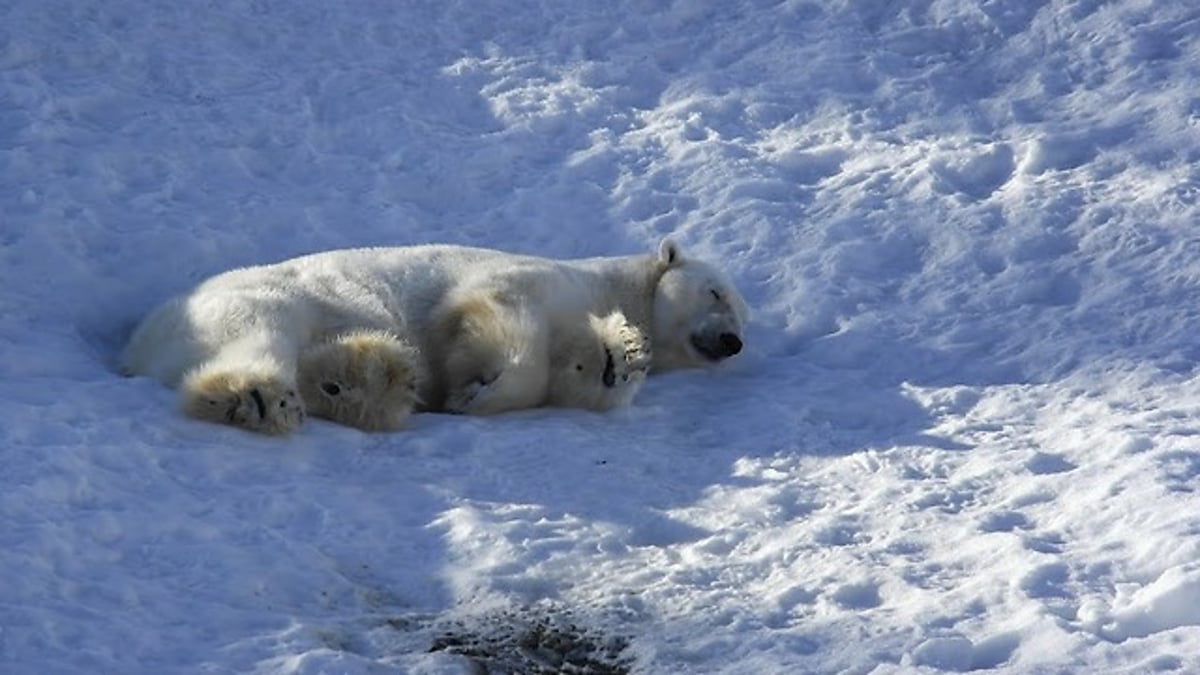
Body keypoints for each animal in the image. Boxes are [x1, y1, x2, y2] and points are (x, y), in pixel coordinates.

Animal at [119, 239, 739, 432]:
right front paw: (476, 391)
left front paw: (622, 355)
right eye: (718, 294)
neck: (608, 284)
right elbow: (494, 314)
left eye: (742, 318)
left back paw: (365, 380)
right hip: (252, 301)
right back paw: (257, 398)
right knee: (263, 333)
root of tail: (138, 348)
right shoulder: (526, 280)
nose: (734, 343)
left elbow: (575, 373)